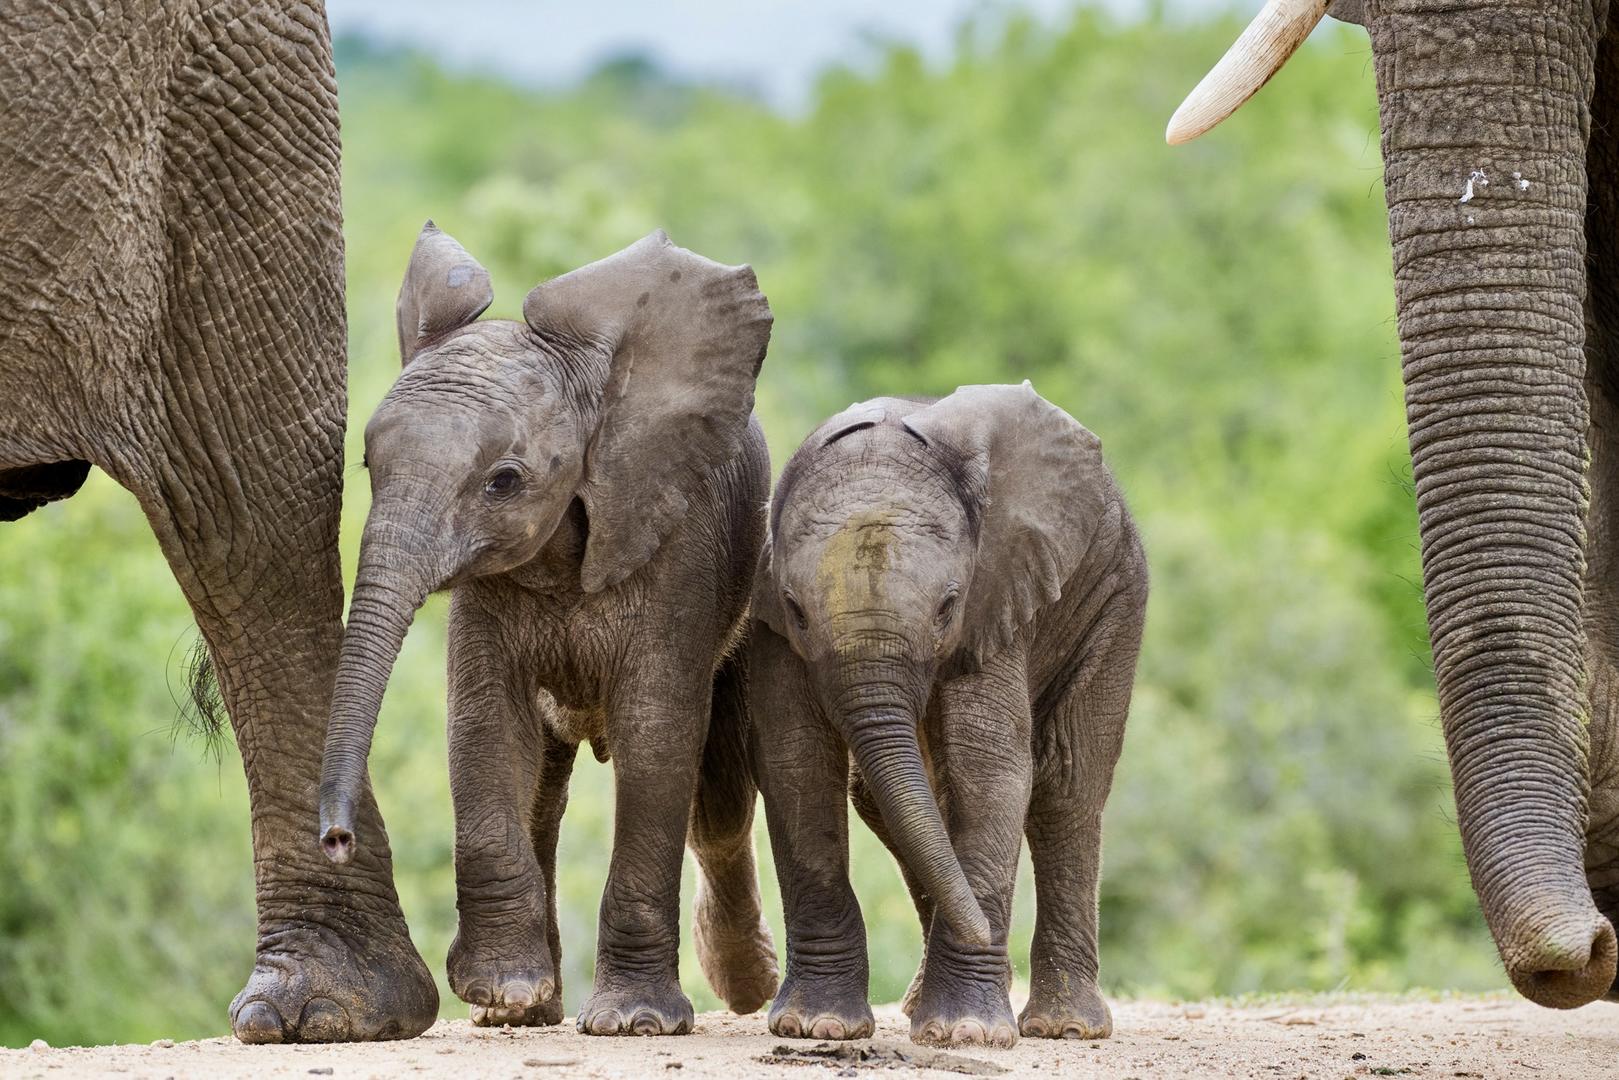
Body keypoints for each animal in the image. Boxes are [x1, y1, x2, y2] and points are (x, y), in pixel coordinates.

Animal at [317, 221, 783, 1036]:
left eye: (505, 482)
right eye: (369, 463)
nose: (336, 841)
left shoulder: (676, 550)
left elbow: (658, 732)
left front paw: (635, 1022)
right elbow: (485, 722)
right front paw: (500, 990)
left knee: (719, 800)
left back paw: (750, 989)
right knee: (546, 794)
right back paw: (525, 1014)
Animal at [747, 386, 1146, 1049]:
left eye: (948, 607)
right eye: (796, 609)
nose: (985, 933)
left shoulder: (997, 600)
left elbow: (990, 771)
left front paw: (967, 1034)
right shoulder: (769, 622)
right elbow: (797, 761)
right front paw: (816, 1027)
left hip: (1116, 595)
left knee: (1067, 785)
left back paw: (1064, 1027)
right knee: (885, 798)